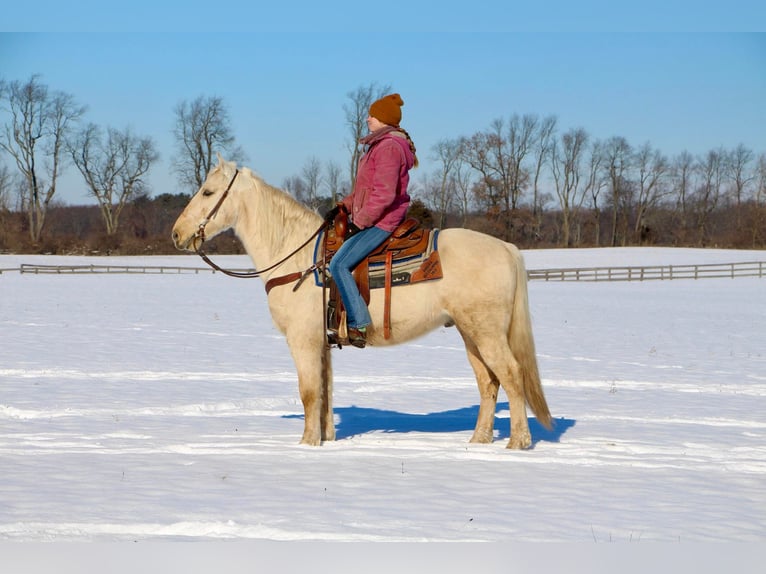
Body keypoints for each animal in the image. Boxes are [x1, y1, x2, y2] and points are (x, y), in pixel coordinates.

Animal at [171, 156, 552, 450]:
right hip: (470, 332)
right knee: (489, 382)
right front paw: (325, 439)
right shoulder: (321, 343)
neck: (295, 255)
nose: (177, 234)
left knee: (512, 375)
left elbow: (309, 392)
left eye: (208, 192)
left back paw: (517, 442)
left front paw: (306, 444)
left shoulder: (302, 340)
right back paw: (478, 441)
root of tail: (506, 248)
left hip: (486, 332)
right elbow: (325, 392)